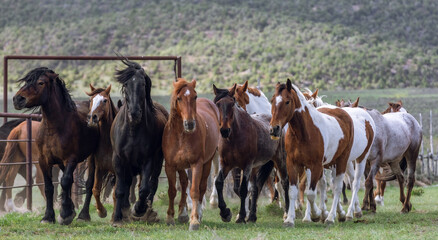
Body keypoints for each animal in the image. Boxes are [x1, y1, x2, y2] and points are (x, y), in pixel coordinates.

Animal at [12, 66, 99, 224]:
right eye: (27, 81)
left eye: (40, 83)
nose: (18, 99)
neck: (55, 128)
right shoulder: (43, 161)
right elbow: (49, 187)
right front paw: (49, 216)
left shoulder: (71, 159)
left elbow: (65, 182)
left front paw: (64, 214)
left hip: (92, 158)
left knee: (89, 184)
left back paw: (83, 215)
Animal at [110, 59, 169, 226]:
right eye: (126, 85)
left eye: (142, 84)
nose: (135, 113)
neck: (133, 130)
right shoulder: (118, 159)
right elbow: (120, 189)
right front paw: (118, 216)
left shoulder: (147, 160)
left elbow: (144, 189)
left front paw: (139, 209)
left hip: (157, 161)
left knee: (152, 184)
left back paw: (146, 209)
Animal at [162, 79, 219, 231]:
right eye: (179, 98)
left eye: (195, 96)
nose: (190, 124)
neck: (181, 136)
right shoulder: (170, 166)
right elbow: (172, 191)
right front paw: (170, 218)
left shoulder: (196, 164)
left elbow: (194, 191)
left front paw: (194, 221)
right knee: (184, 183)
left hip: (208, 163)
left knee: (202, 187)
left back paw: (198, 214)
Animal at [213, 83, 288, 224]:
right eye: (217, 104)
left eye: (232, 104)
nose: (224, 130)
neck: (235, 137)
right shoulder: (227, 164)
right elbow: (219, 183)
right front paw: (225, 213)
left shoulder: (246, 165)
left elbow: (243, 189)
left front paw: (241, 216)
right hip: (257, 167)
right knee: (256, 187)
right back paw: (252, 215)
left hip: (278, 160)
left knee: (284, 183)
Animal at [268, 79, 354, 227]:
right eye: (272, 100)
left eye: (287, 101)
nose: (274, 129)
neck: (303, 133)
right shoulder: (293, 164)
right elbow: (293, 191)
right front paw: (290, 219)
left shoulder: (315, 166)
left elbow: (311, 193)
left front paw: (316, 214)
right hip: (330, 163)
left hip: (341, 161)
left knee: (337, 187)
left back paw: (332, 217)